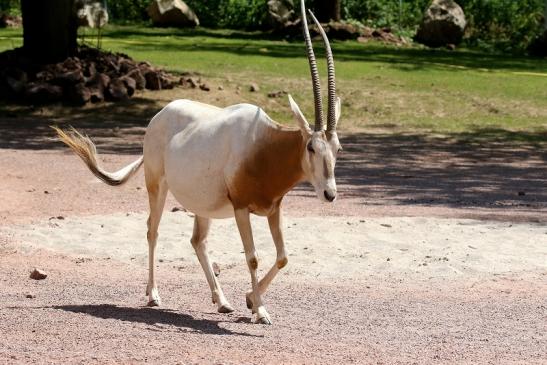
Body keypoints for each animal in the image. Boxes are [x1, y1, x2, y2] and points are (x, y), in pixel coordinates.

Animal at [52, 0, 342, 324]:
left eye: (338, 148)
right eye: (311, 147)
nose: (329, 194)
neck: (264, 146)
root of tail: (160, 115)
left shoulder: (273, 209)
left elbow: (283, 257)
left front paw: (249, 300)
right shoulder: (241, 208)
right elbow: (253, 257)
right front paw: (260, 310)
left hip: (204, 205)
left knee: (197, 241)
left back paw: (222, 301)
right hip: (157, 185)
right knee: (153, 230)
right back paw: (153, 295)